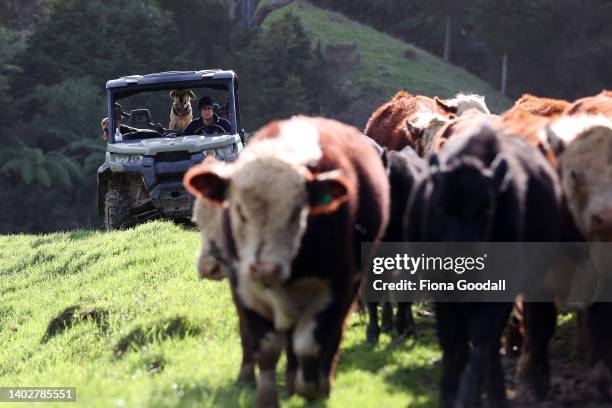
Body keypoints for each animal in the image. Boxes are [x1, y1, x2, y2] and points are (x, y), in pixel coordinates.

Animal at [184, 115, 390, 408]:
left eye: (297, 211)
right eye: (237, 211)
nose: (209, 266)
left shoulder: (334, 289)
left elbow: (310, 343)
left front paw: (309, 388)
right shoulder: (243, 290)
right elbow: (259, 342)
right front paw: (256, 386)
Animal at [406, 119, 564, 406]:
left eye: (487, 209)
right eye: (441, 207)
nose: (461, 256)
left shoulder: (501, 290)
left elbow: (483, 336)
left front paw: (472, 394)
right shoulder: (441, 288)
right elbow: (453, 338)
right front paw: (449, 391)